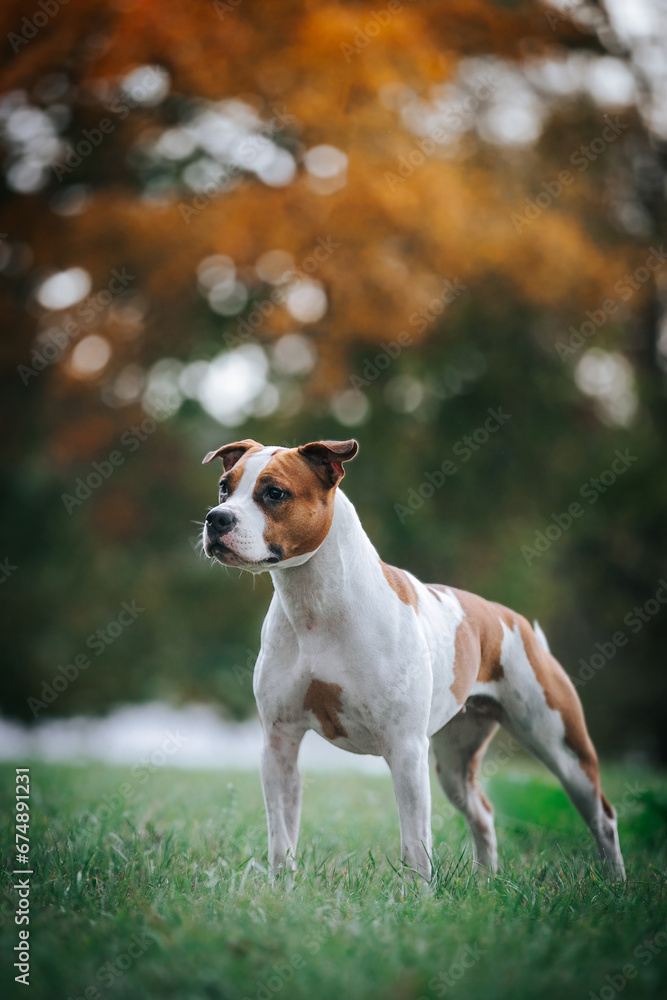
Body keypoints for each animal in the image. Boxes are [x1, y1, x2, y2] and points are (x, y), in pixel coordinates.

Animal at [200, 442, 628, 880]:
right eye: (224, 487)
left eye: (274, 493)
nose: (217, 518)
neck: (315, 604)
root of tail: (513, 621)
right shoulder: (280, 743)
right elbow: (281, 836)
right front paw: (281, 887)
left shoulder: (405, 747)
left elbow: (415, 843)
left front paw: (418, 892)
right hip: (455, 763)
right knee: (482, 813)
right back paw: (487, 880)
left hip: (562, 747)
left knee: (603, 817)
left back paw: (614, 883)